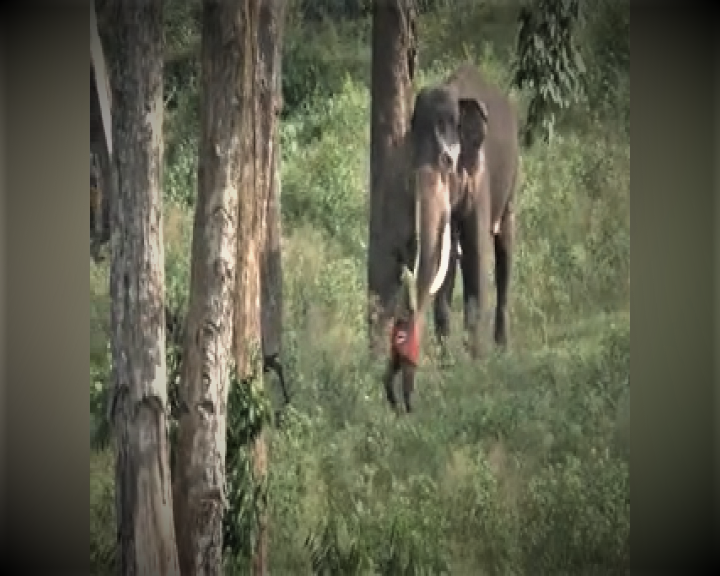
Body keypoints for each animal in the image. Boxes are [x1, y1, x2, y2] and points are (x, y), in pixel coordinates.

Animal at [380, 63, 520, 414]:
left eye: (446, 161)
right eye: (409, 166)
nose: (402, 403)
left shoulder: (480, 175)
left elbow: (476, 254)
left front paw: (476, 366)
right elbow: (443, 271)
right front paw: (449, 369)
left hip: (512, 181)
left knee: (503, 248)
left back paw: (502, 349)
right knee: (452, 259)